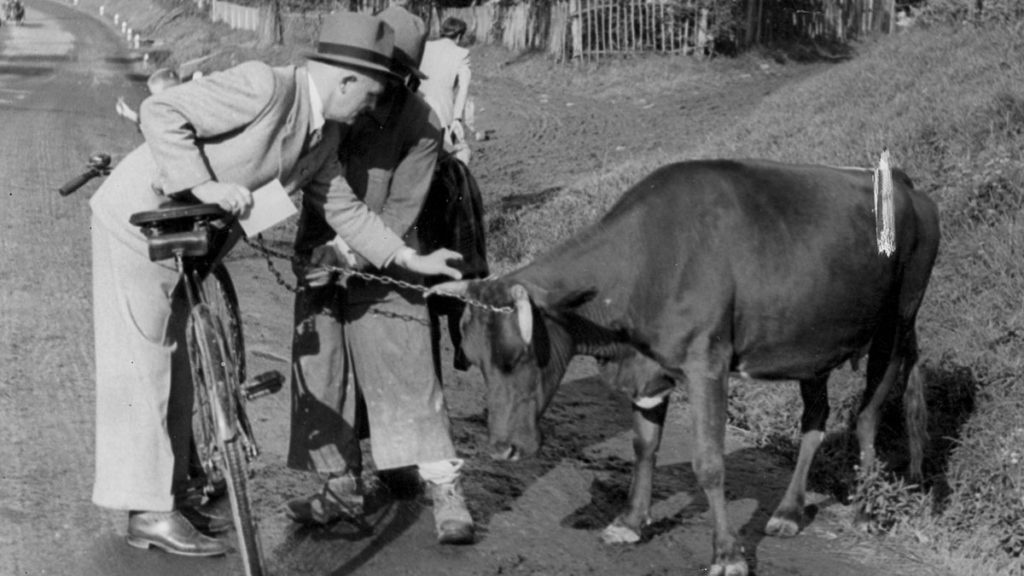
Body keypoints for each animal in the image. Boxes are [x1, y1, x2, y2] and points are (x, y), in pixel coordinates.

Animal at [428, 157, 937, 573]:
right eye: (475, 361)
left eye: (517, 358)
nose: (502, 450)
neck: (646, 261)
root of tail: (905, 183)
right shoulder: (650, 367)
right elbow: (643, 445)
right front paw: (630, 521)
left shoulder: (706, 362)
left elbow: (708, 462)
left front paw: (728, 554)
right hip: (813, 343)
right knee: (816, 417)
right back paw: (789, 513)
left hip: (896, 321)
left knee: (868, 417)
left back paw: (866, 511)